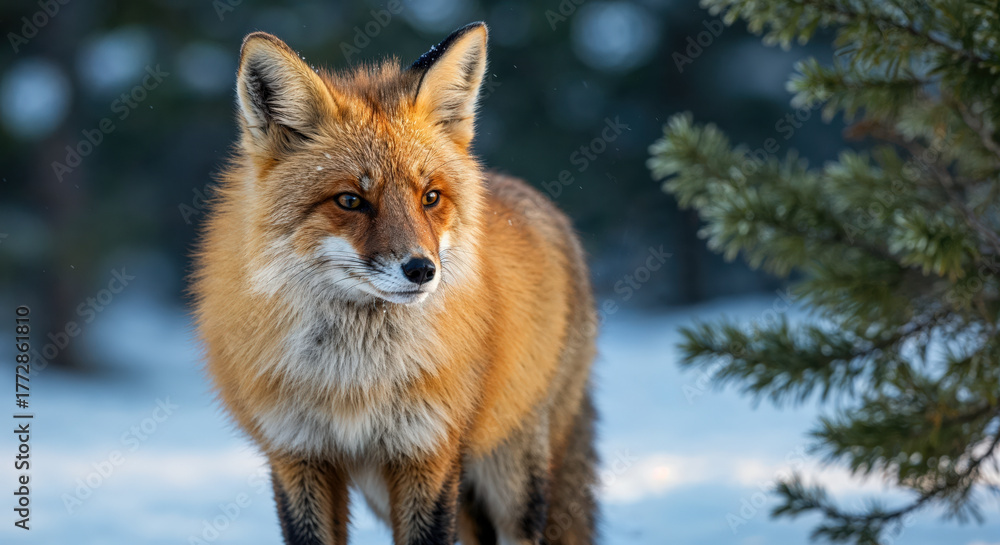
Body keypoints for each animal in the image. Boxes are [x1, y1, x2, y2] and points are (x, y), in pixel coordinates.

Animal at [192, 22, 598, 545]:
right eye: (350, 200)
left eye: (430, 197)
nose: (422, 269)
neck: (354, 379)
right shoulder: (297, 454)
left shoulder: (427, 453)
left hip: (510, 475)